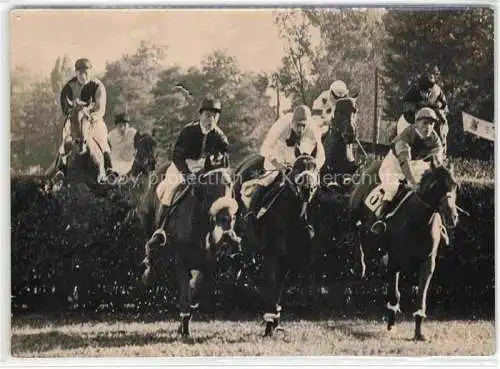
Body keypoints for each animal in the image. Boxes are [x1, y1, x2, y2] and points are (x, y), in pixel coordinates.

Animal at [140, 152, 241, 336]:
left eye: (229, 184)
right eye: (208, 187)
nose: (226, 220)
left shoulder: (207, 264)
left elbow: (193, 291)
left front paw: (184, 323)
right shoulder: (181, 263)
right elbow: (185, 294)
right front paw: (184, 328)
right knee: (151, 254)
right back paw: (148, 273)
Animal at [235, 147, 320, 336]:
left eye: (315, 168)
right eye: (297, 168)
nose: (307, 189)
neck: (291, 217)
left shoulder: (291, 259)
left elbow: (280, 285)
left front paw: (275, 318)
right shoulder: (272, 254)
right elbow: (272, 283)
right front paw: (270, 321)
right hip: (244, 237)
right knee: (250, 266)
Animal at [350, 158, 458, 340]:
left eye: (455, 185)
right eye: (435, 184)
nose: (452, 216)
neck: (419, 220)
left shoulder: (428, 262)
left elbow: (421, 296)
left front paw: (419, 332)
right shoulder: (395, 259)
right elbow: (394, 294)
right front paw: (391, 324)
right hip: (359, 216)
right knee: (358, 234)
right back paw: (361, 265)